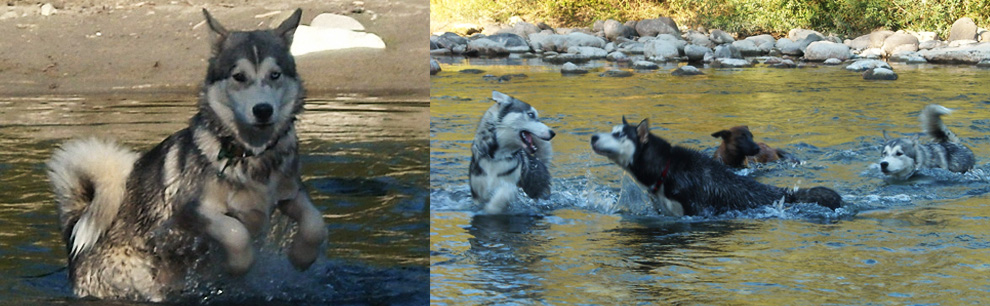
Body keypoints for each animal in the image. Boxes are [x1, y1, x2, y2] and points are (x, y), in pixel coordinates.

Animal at [47, 9, 326, 302]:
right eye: (239, 76)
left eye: (275, 75)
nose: (263, 110)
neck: (250, 154)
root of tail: (75, 232)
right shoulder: (189, 212)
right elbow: (235, 232)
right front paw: (236, 266)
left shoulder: (291, 194)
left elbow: (315, 224)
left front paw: (302, 257)